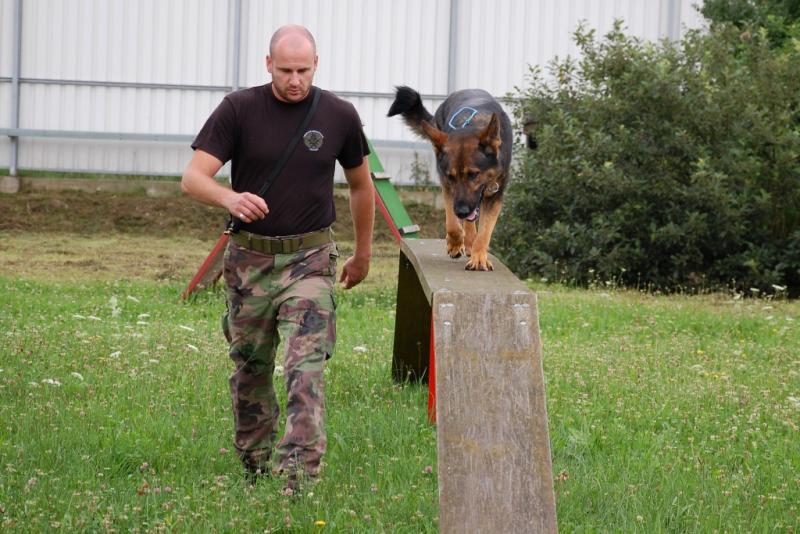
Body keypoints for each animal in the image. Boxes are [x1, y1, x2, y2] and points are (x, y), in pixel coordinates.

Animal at [388, 86, 512, 271]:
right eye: (451, 176)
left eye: (473, 174)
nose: (461, 211)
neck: (474, 125)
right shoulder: (447, 186)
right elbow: (453, 225)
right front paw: (455, 244)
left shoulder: (494, 197)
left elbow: (484, 233)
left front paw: (479, 258)